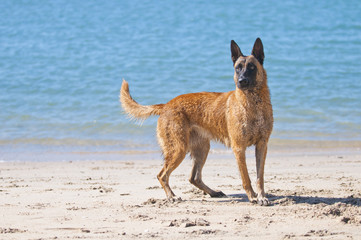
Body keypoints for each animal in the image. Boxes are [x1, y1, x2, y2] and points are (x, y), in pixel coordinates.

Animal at [120, 38, 272, 205]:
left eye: (251, 67)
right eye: (238, 68)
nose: (242, 81)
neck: (253, 104)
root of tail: (166, 105)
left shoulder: (262, 146)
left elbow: (260, 177)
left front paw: (261, 196)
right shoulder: (239, 148)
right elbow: (246, 178)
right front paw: (252, 197)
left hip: (202, 149)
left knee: (194, 178)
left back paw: (212, 192)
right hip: (178, 149)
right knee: (162, 175)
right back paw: (172, 196)